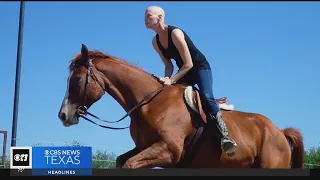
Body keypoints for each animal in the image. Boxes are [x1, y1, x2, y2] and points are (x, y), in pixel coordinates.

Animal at [58, 44, 304, 169]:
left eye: (76, 80)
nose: (63, 115)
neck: (148, 102)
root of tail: (279, 132)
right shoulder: (145, 148)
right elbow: (122, 161)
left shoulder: (169, 150)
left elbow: (129, 164)